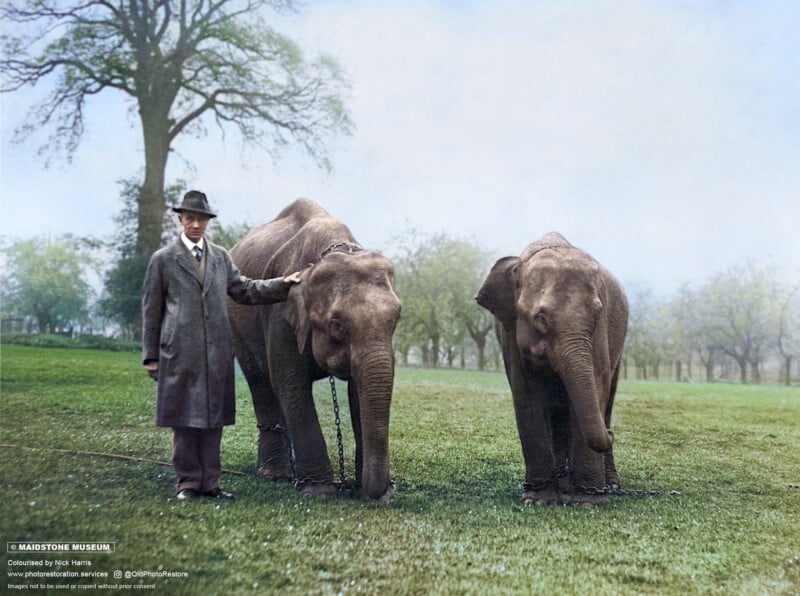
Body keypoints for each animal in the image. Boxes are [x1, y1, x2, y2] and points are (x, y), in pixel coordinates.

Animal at [227, 199, 400, 502]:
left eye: (397, 319)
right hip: (238, 327)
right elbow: (291, 384)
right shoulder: (280, 316)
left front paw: (370, 494)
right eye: (336, 324)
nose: (383, 490)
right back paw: (276, 475)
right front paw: (319, 491)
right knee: (260, 383)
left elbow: (358, 392)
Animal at [478, 232, 628, 502]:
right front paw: (538, 500)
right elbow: (528, 395)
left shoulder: (601, 329)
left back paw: (607, 485)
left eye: (596, 314)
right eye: (540, 318)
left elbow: (598, 384)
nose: (611, 434)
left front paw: (589, 502)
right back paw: (563, 482)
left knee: (606, 399)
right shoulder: (511, 331)